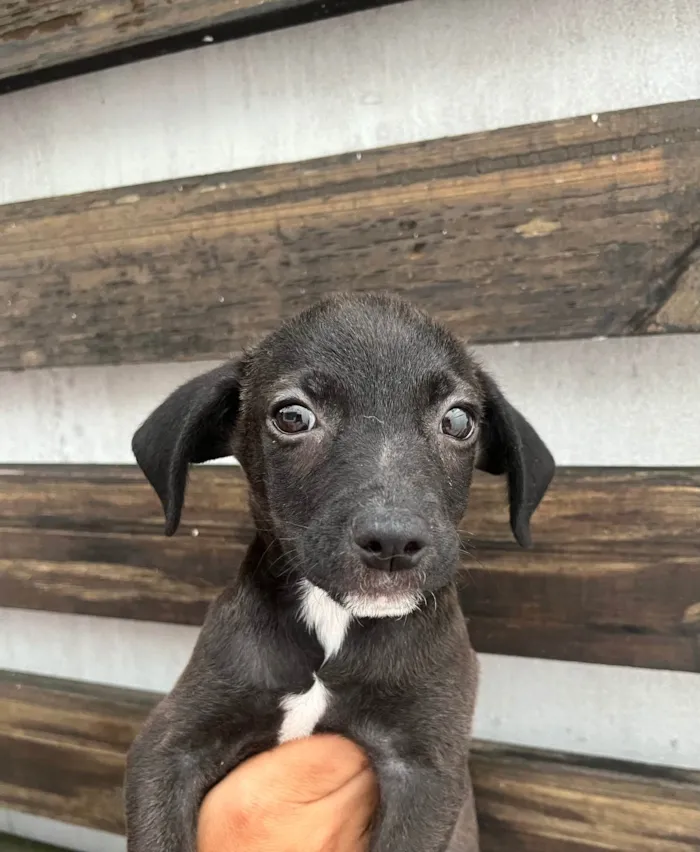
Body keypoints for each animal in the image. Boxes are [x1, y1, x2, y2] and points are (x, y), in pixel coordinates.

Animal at [124, 294, 552, 852]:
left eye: (459, 421)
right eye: (292, 417)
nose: (393, 542)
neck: (334, 623)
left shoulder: (426, 769)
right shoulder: (169, 745)